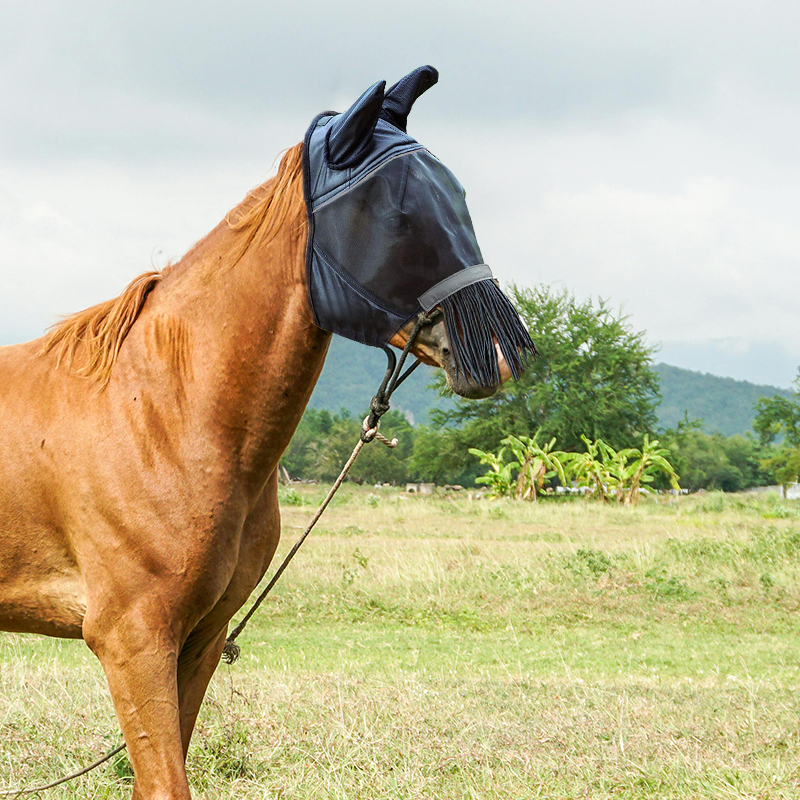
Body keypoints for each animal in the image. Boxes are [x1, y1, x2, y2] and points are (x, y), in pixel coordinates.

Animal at [0, 68, 532, 799]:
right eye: (397, 215)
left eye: (460, 200)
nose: (502, 355)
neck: (163, 413)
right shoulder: (132, 641)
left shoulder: (197, 639)